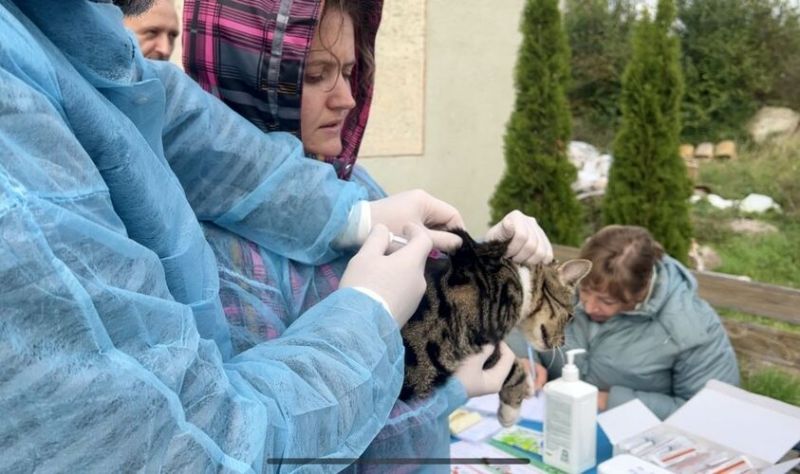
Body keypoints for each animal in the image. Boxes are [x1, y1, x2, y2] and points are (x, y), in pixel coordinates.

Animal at [398, 230, 592, 426]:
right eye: (570, 317)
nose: (563, 342)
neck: (520, 278)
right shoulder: (473, 339)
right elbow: (513, 366)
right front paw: (513, 406)